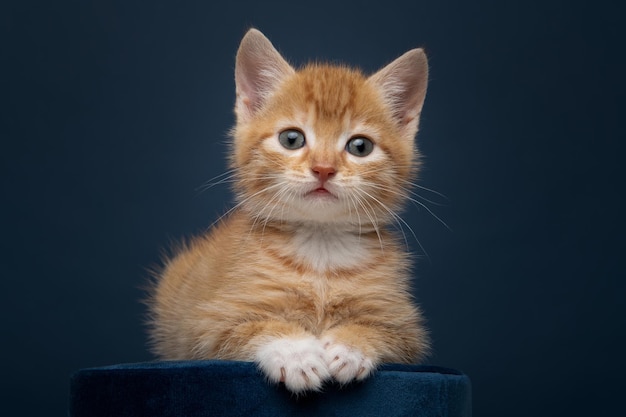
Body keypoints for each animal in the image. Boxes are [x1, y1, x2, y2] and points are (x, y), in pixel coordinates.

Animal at [147, 27, 428, 392]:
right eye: (292, 139)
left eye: (360, 146)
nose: (323, 169)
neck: (320, 248)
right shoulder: (202, 325)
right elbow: (257, 325)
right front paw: (297, 354)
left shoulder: (406, 329)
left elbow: (383, 332)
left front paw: (350, 347)